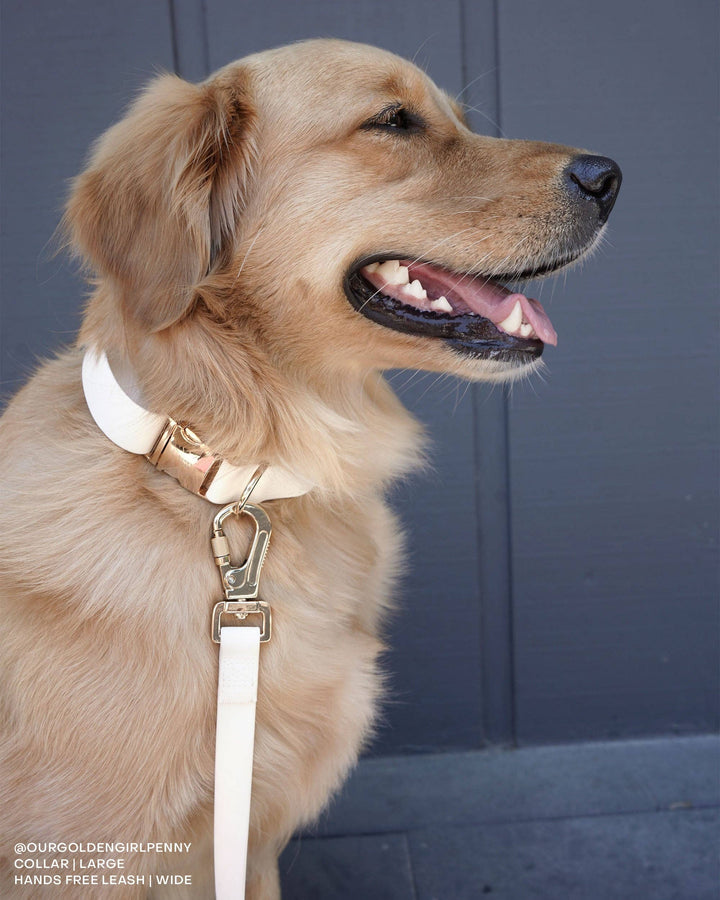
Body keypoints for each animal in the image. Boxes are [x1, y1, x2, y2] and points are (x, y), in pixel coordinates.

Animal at [0, 38, 620, 896]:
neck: (226, 470)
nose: (609, 177)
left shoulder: (250, 846)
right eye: (393, 121)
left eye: (461, 120)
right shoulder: (78, 859)